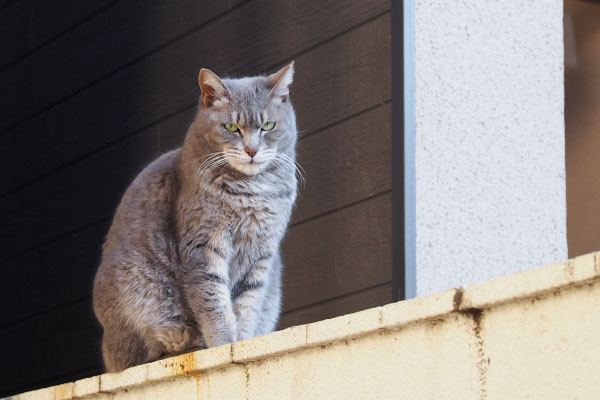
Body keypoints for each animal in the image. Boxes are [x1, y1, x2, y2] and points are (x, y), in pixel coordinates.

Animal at [93, 61, 298, 372]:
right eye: (231, 127)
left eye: (268, 126)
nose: (252, 150)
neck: (252, 190)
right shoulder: (203, 245)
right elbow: (214, 304)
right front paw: (224, 346)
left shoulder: (261, 252)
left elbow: (248, 304)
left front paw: (243, 343)